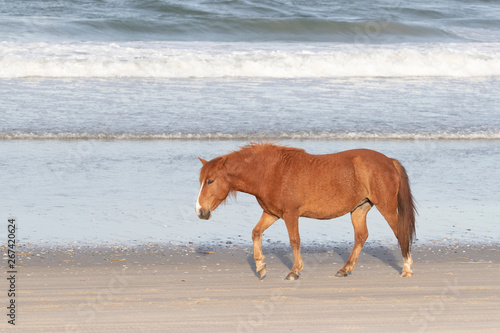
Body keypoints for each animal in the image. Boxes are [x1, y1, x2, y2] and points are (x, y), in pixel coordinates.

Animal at [197, 141, 416, 278]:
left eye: (210, 181)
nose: (200, 211)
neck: (270, 172)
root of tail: (389, 161)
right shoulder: (272, 214)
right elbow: (256, 232)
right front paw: (260, 267)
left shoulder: (291, 214)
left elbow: (295, 241)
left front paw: (294, 271)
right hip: (359, 209)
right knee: (361, 236)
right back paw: (345, 269)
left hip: (386, 207)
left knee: (400, 232)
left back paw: (406, 268)